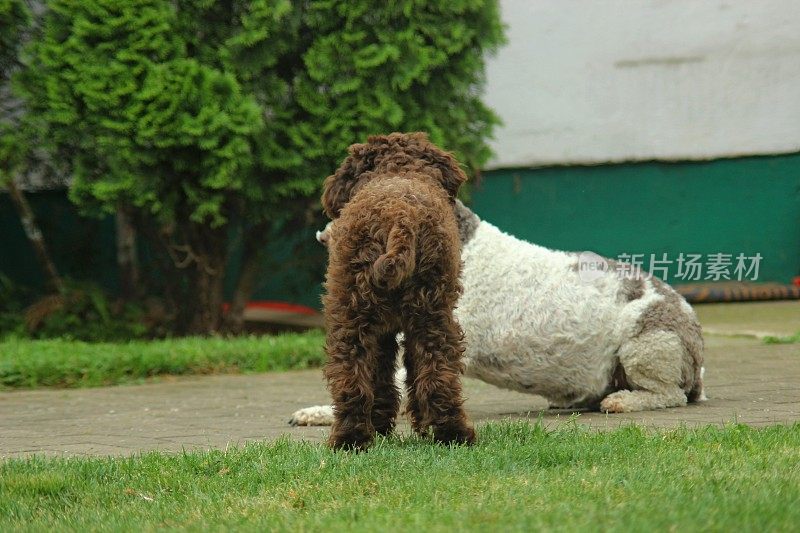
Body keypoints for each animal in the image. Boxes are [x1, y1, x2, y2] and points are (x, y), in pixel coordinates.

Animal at [322, 133, 476, 448]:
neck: (397, 170)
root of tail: (400, 215)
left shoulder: (381, 330)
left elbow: (381, 374)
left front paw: (381, 425)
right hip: (430, 312)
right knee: (438, 370)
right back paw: (451, 433)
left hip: (354, 309)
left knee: (350, 371)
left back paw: (350, 438)